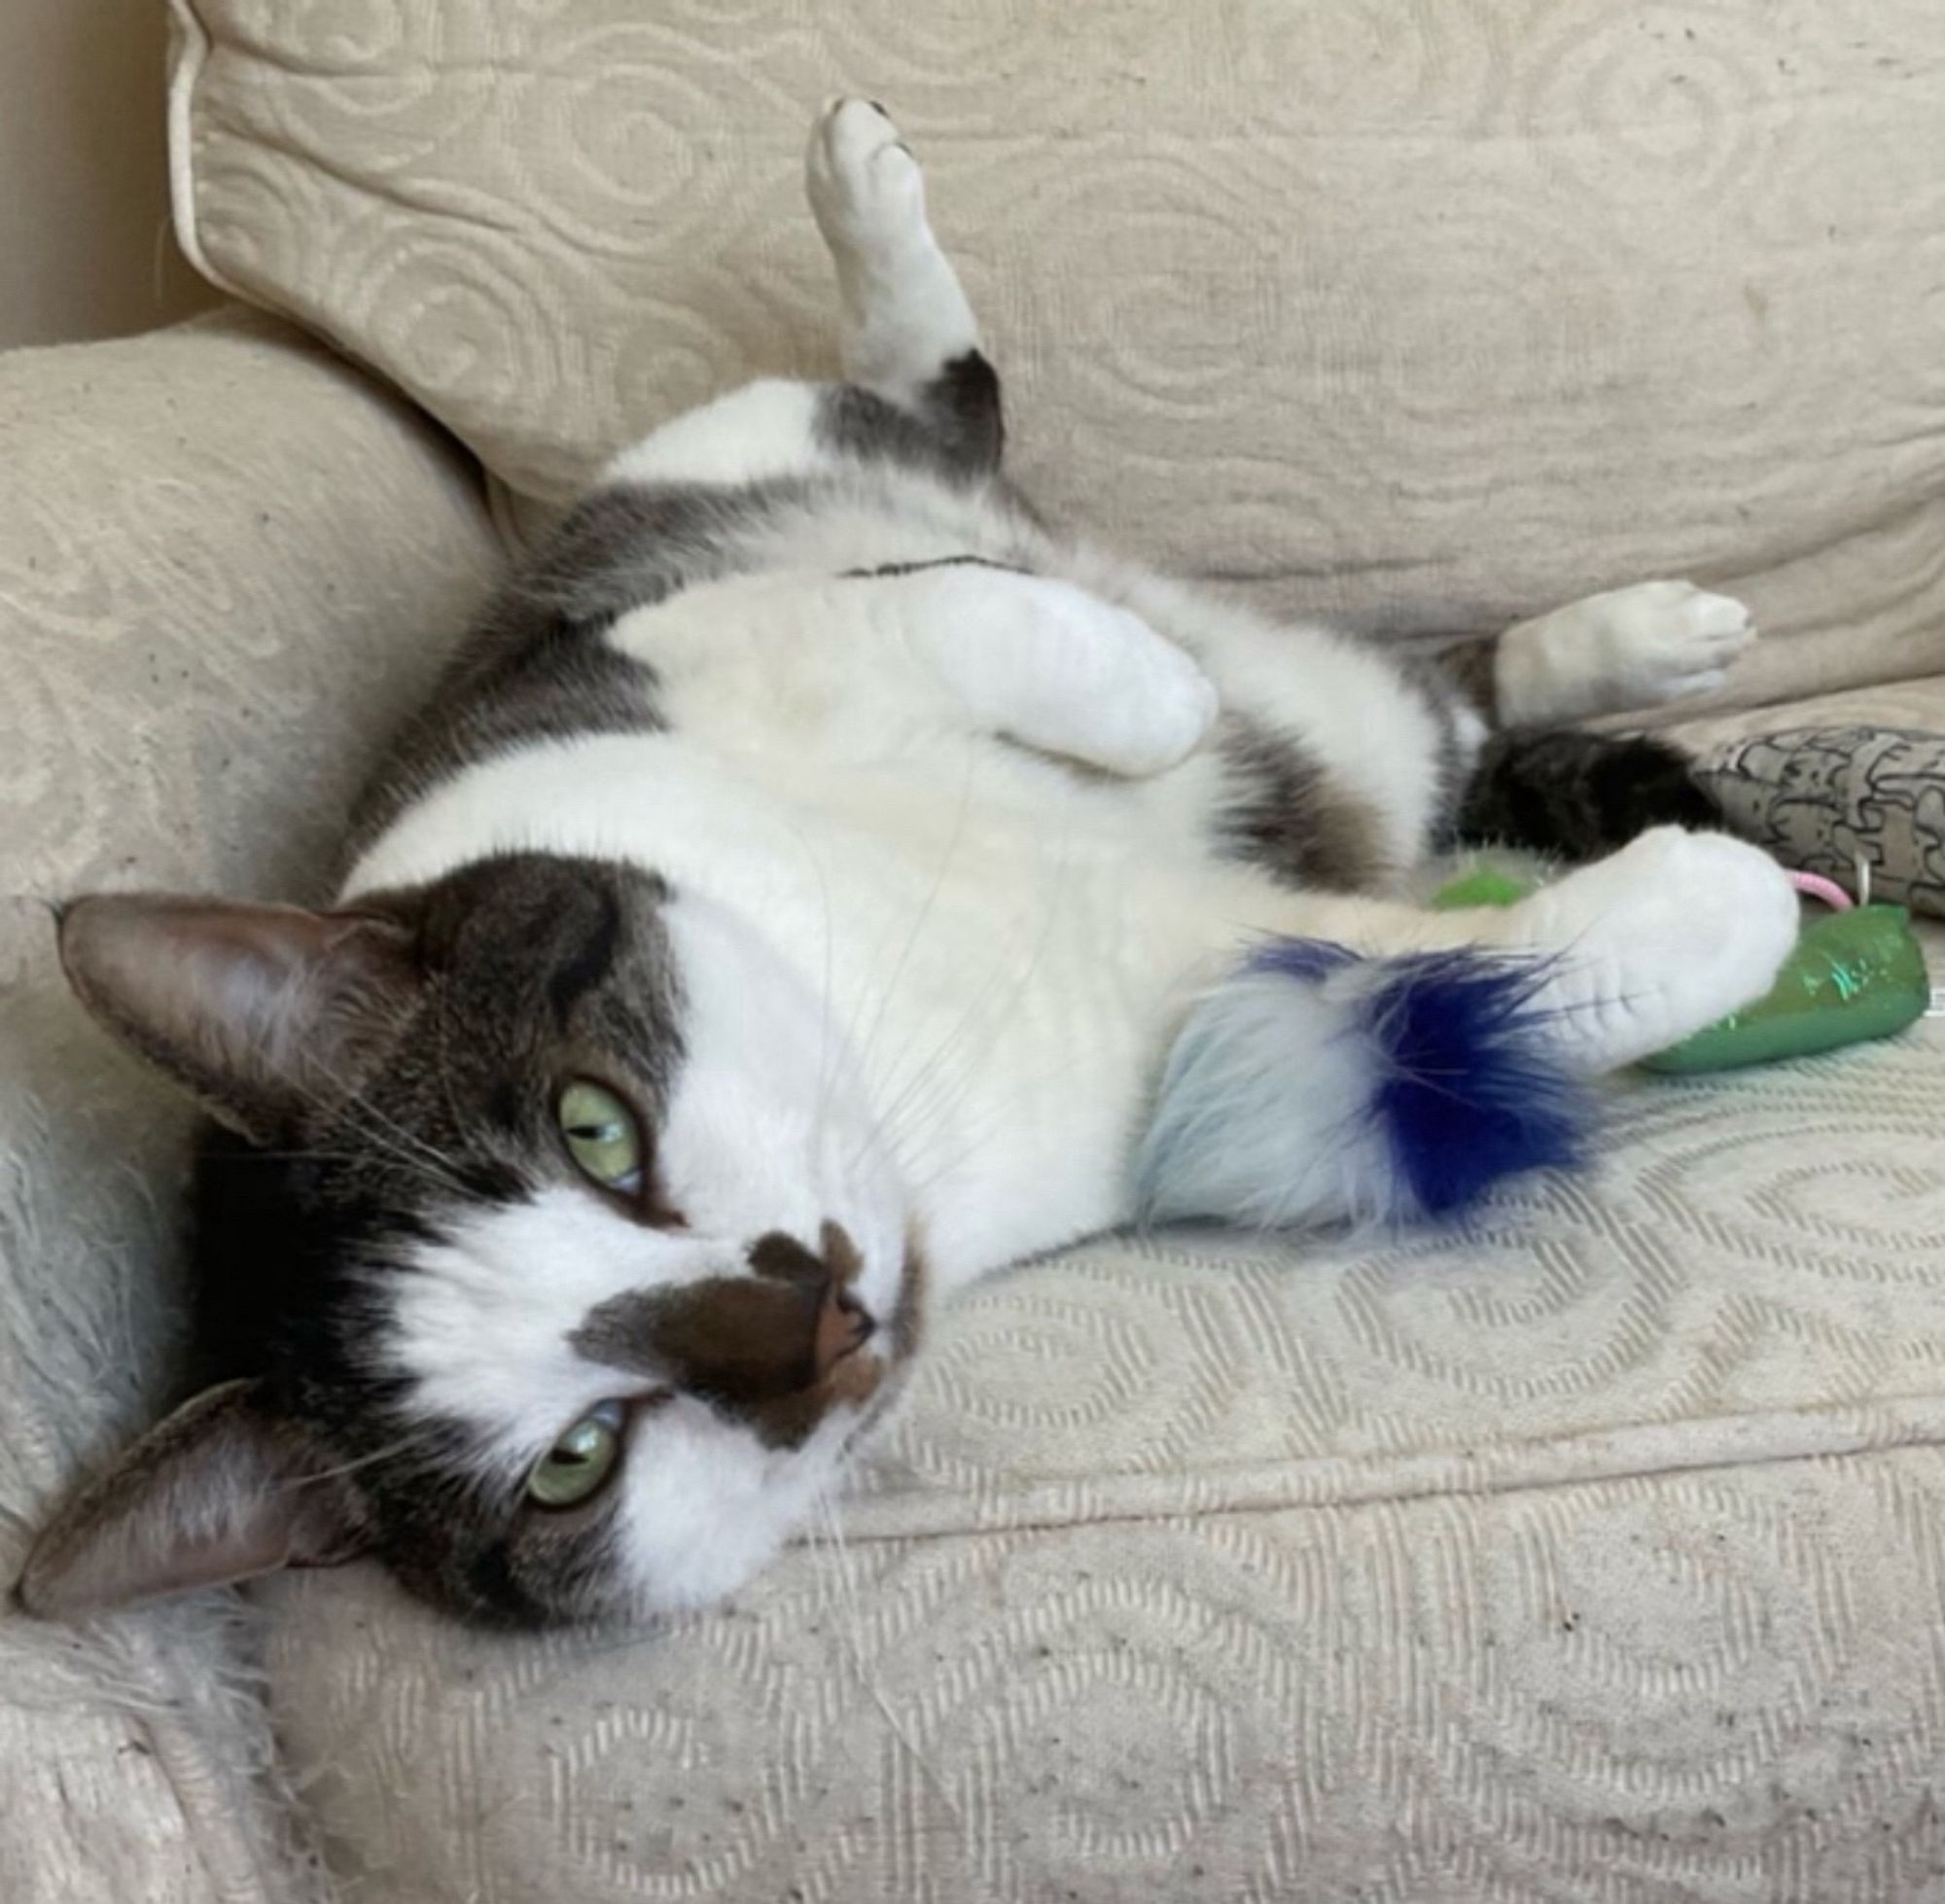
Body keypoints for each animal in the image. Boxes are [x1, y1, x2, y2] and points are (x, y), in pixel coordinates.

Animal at [22, 96, 1797, 1634]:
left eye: (597, 1129)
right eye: (573, 1460)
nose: (821, 1309)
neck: (886, 1021)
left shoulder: (678, 656)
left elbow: (967, 620)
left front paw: (1153, 700)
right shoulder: (1190, 1052)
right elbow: (1443, 1006)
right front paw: (1709, 901)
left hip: (730, 462)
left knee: (951, 416)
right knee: (1429, 717)